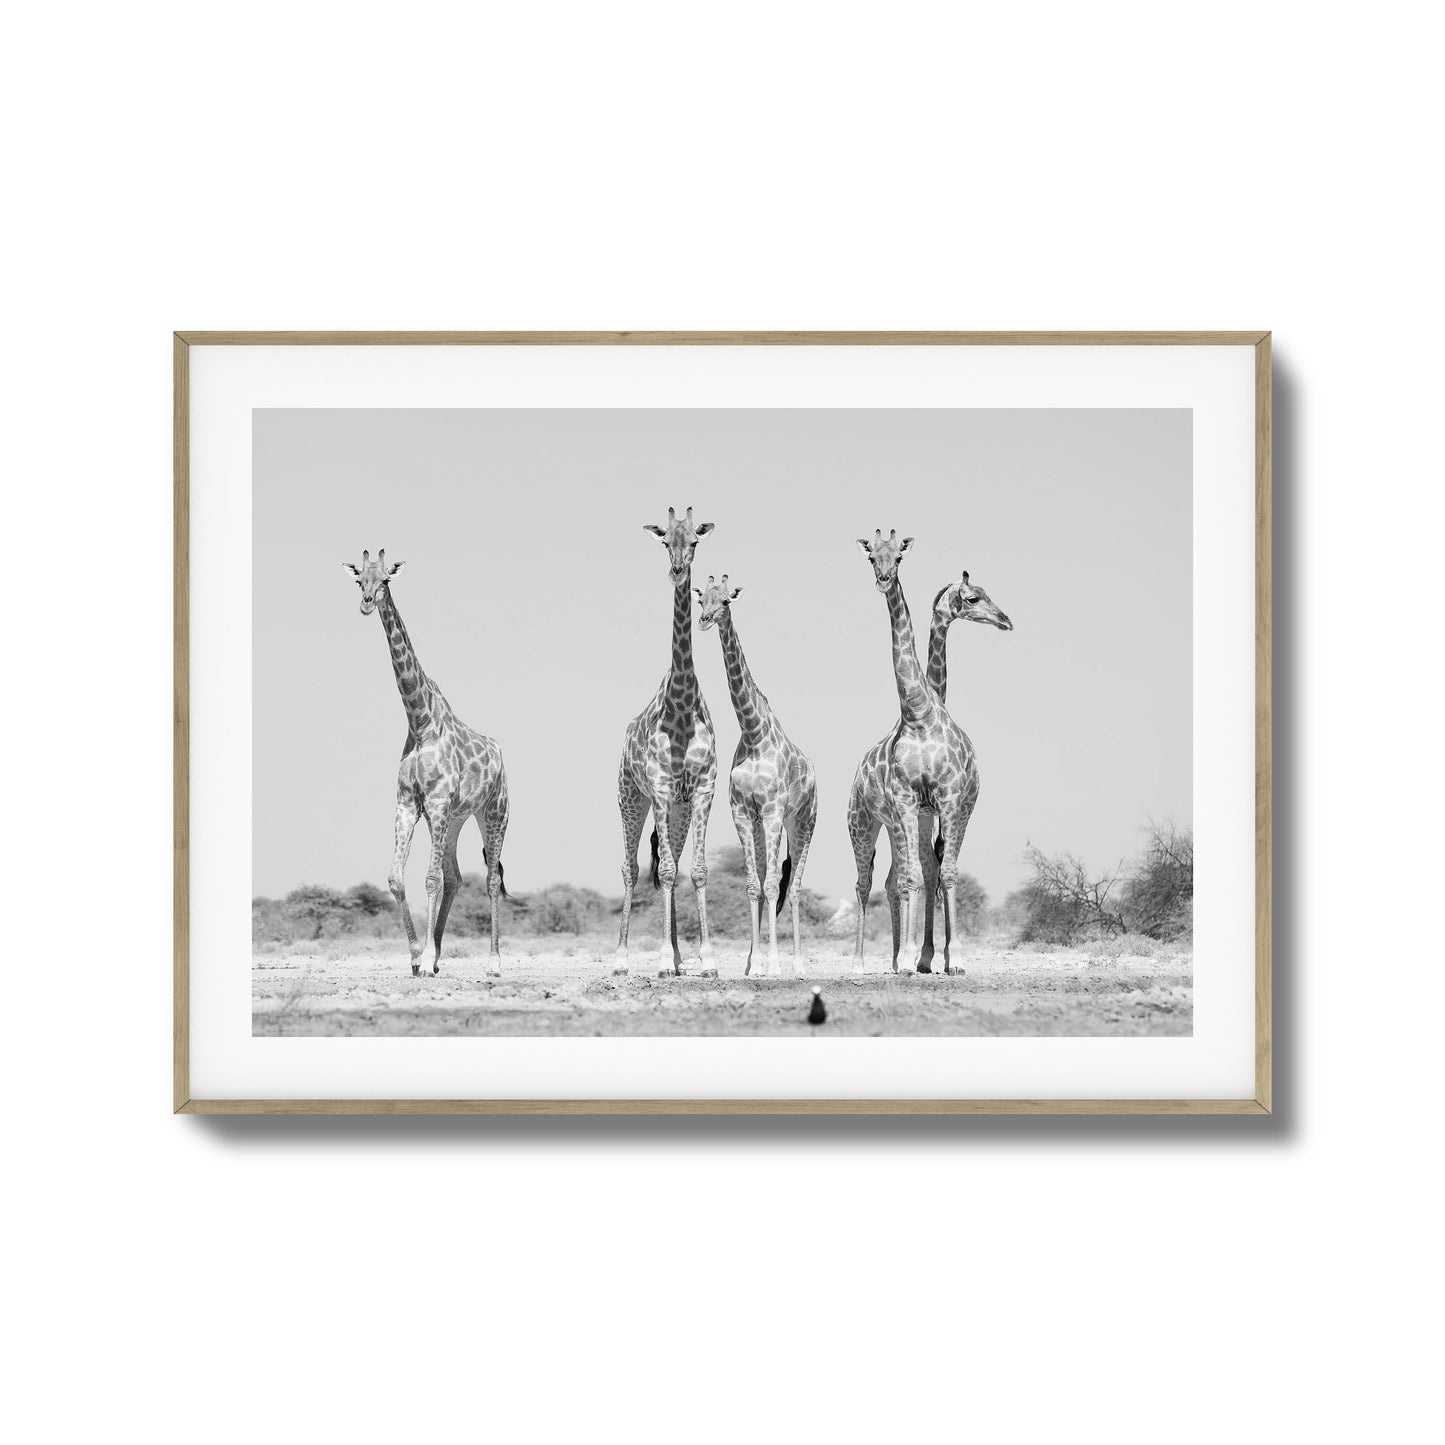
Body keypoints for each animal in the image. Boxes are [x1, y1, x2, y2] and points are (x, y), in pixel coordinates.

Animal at [342, 549, 509, 976]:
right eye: (359, 579)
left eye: (386, 579)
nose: (367, 602)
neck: (420, 722)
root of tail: (500, 754)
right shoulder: (408, 805)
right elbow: (396, 878)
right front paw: (419, 956)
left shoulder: (434, 804)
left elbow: (430, 879)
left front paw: (427, 954)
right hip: (456, 820)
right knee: (456, 877)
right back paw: (437, 957)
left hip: (494, 812)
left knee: (490, 879)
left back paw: (493, 962)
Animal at [696, 574, 818, 977]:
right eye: (701, 599)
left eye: (726, 601)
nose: (704, 620)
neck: (752, 733)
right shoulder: (742, 811)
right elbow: (753, 885)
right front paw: (752, 964)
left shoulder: (773, 810)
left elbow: (771, 886)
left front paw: (775, 965)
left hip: (803, 822)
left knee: (793, 887)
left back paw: (797, 964)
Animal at [845, 532, 1011, 973]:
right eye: (872, 556)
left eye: (899, 556)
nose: (1005, 619)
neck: (918, 712)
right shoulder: (907, 801)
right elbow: (915, 878)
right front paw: (911, 957)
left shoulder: (947, 800)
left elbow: (943, 874)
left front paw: (950, 958)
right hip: (863, 821)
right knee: (869, 882)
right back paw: (865, 962)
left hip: (932, 816)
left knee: (910, 875)